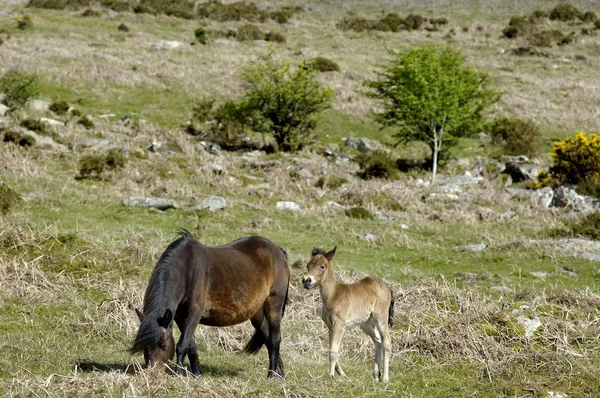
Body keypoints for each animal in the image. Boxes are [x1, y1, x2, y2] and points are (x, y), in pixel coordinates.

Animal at [131, 230, 290, 380]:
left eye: (164, 346)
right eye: (144, 347)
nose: (152, 374)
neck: (187, 270)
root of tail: (277, 249)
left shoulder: (195, 312)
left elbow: (182, 344)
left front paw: (178, 373)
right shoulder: (179, 316)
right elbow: (190, 345)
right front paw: (196, 374)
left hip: (274, 304)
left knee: (275, 338)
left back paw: (271, 374)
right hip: (257, 313)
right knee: (267, 337)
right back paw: (279, 372)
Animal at [300, 246, 394, 382]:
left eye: (322, 266)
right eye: (308, 265)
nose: (306, 281)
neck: (333, 295)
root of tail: (386, 287)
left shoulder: (339, 325)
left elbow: (333, 351)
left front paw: (331, 375)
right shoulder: (330, 327)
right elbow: (331, 349)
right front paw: (341, 373)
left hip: (380, 318)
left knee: (386, 342)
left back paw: (385, 378)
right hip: (365, 323)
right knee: (377, 340)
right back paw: (376, 376)